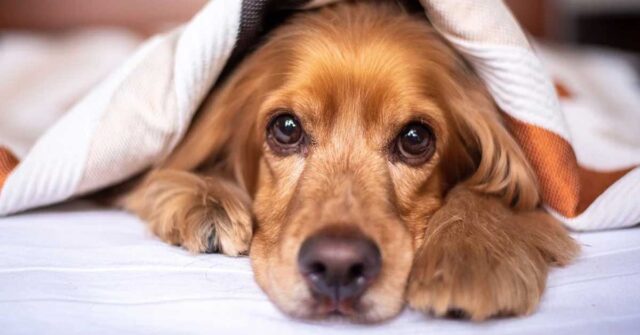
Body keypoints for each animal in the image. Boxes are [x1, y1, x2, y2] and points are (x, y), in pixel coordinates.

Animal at [122, 0, 576, 326]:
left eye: (415, 139)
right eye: (286, 128)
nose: (338, 266)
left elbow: (497, 191)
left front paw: (470, 255)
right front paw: (207, 201)